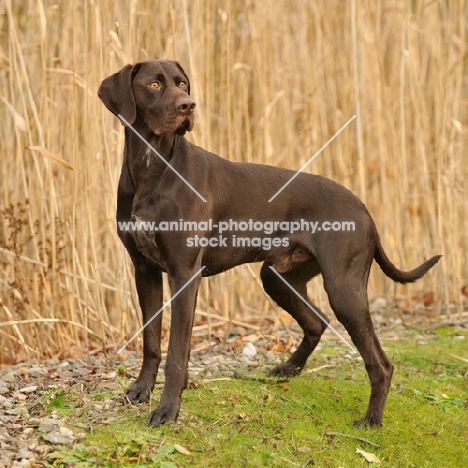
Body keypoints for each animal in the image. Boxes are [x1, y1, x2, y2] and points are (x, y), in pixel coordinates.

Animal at [97, 59, 440, 428]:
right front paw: (141, 390)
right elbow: (151, 341)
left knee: (381, 363)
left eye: (182, 84)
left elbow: (176, 351)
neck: (152, 167)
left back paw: (372, 419)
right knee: (317, 322)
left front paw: (167, 409)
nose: (188, 106)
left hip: (343, 288)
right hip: (278, 277)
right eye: (154, 85)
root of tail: (364, 208)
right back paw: (289, 368)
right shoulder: (144, 269)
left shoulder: (184, 274)